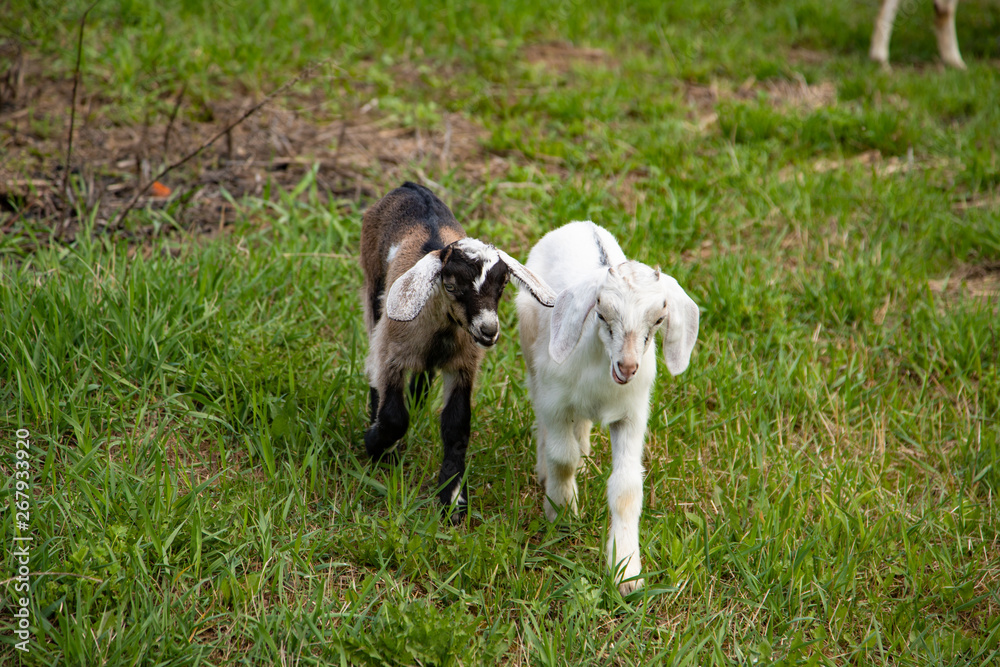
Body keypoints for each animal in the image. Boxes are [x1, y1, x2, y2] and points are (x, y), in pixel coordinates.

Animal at [360, 182, 557, 522]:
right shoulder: (392, 352)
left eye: (502, 286)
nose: (488, 330)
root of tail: (410, 186)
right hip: (374, 286)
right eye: (451, 285)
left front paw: (452, 499)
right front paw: (376, 446)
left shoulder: (463, 365)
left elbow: (456, 425)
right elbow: (394, 415)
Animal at [516, 221, 699, 593]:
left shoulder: (632, 415)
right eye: (600, 311)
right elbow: (562, 457)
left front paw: (626, 571)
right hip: (531, 354)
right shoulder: (555, 402)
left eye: (659, 319)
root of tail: (579, 224)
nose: (627, 367)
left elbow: (627, 487)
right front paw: (562, 512)